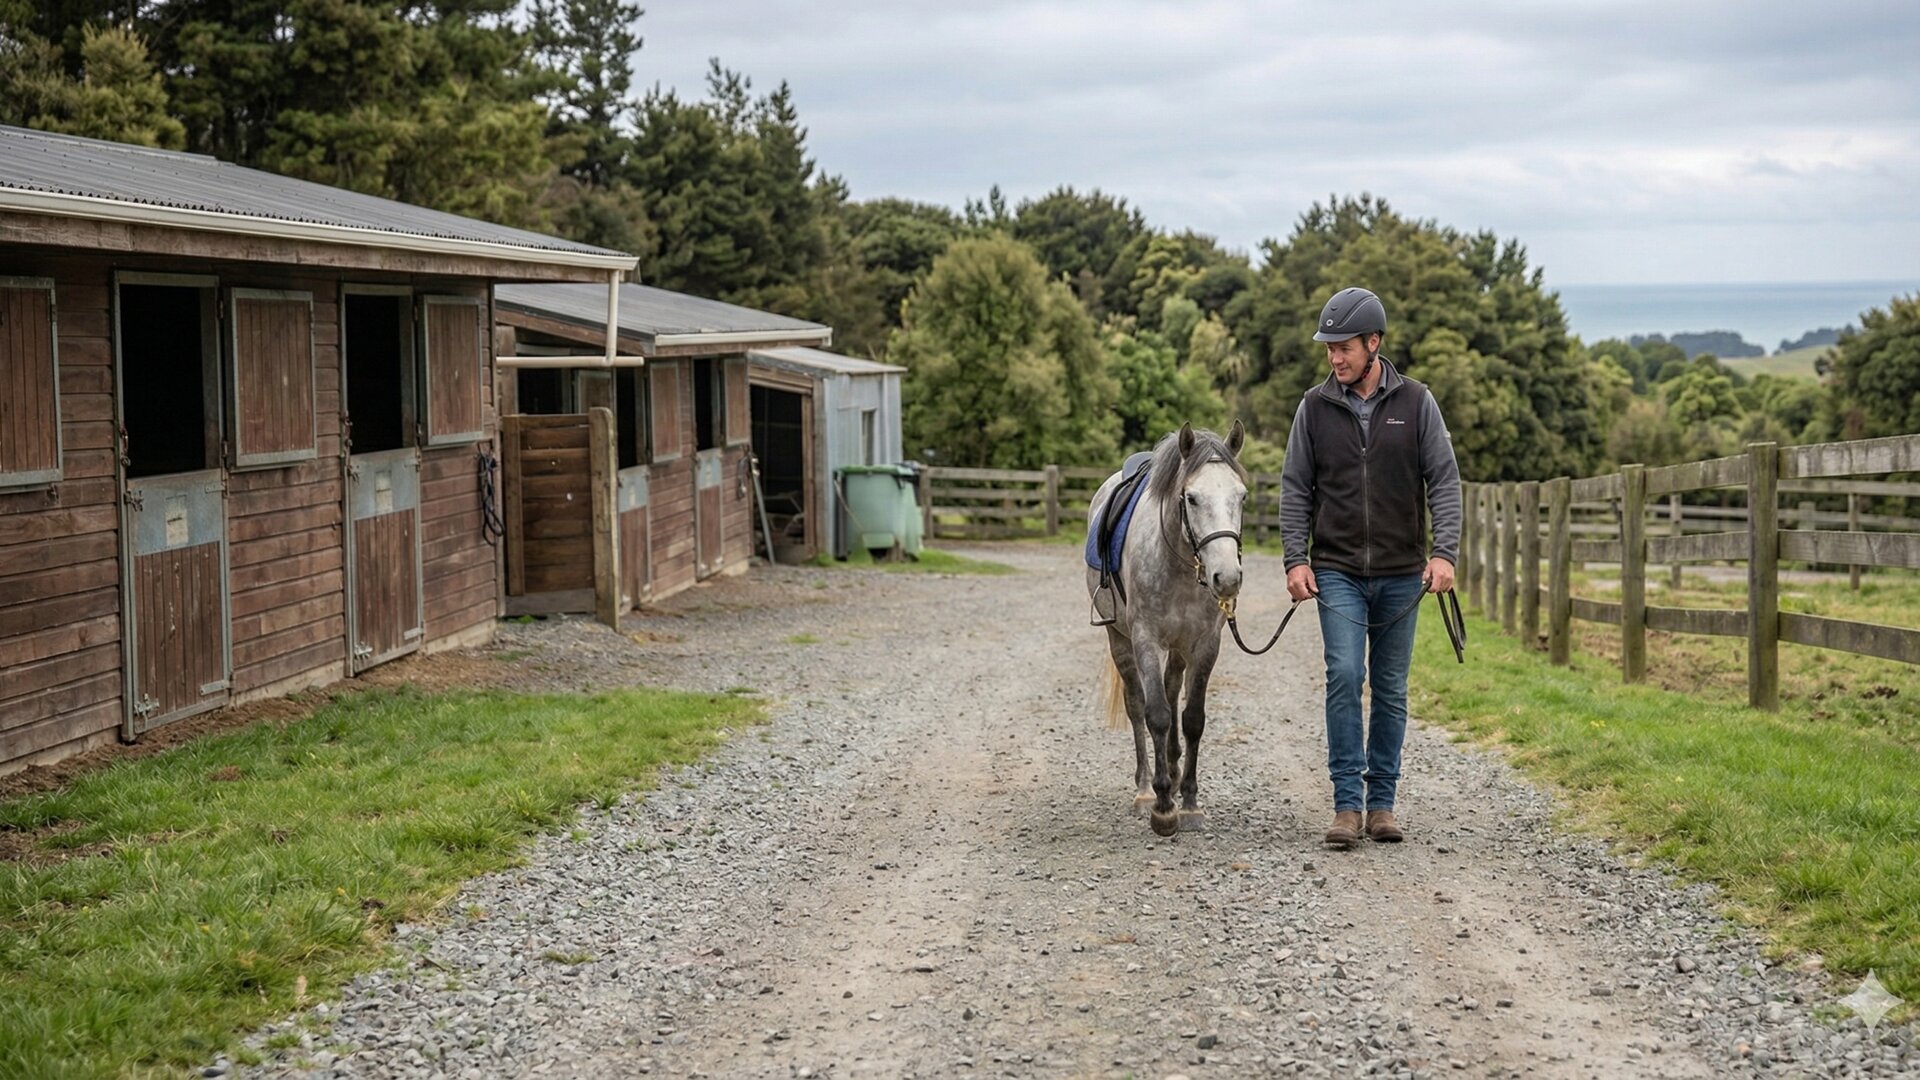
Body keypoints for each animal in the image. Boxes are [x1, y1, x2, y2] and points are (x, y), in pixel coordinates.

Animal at [1086, 421, 1248, 837]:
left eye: (1241, 496)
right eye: (1191, 498)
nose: (1227, 578)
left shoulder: (1206, 644)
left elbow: (1192, 718)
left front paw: (1188, 801)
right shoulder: (1144, 638)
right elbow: (1155, 713)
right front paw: (1161, 807)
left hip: (1178, 646)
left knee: (1173, 689)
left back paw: (1173, 774)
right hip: (1120, 639)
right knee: (1136, 703)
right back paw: (1147, 788)